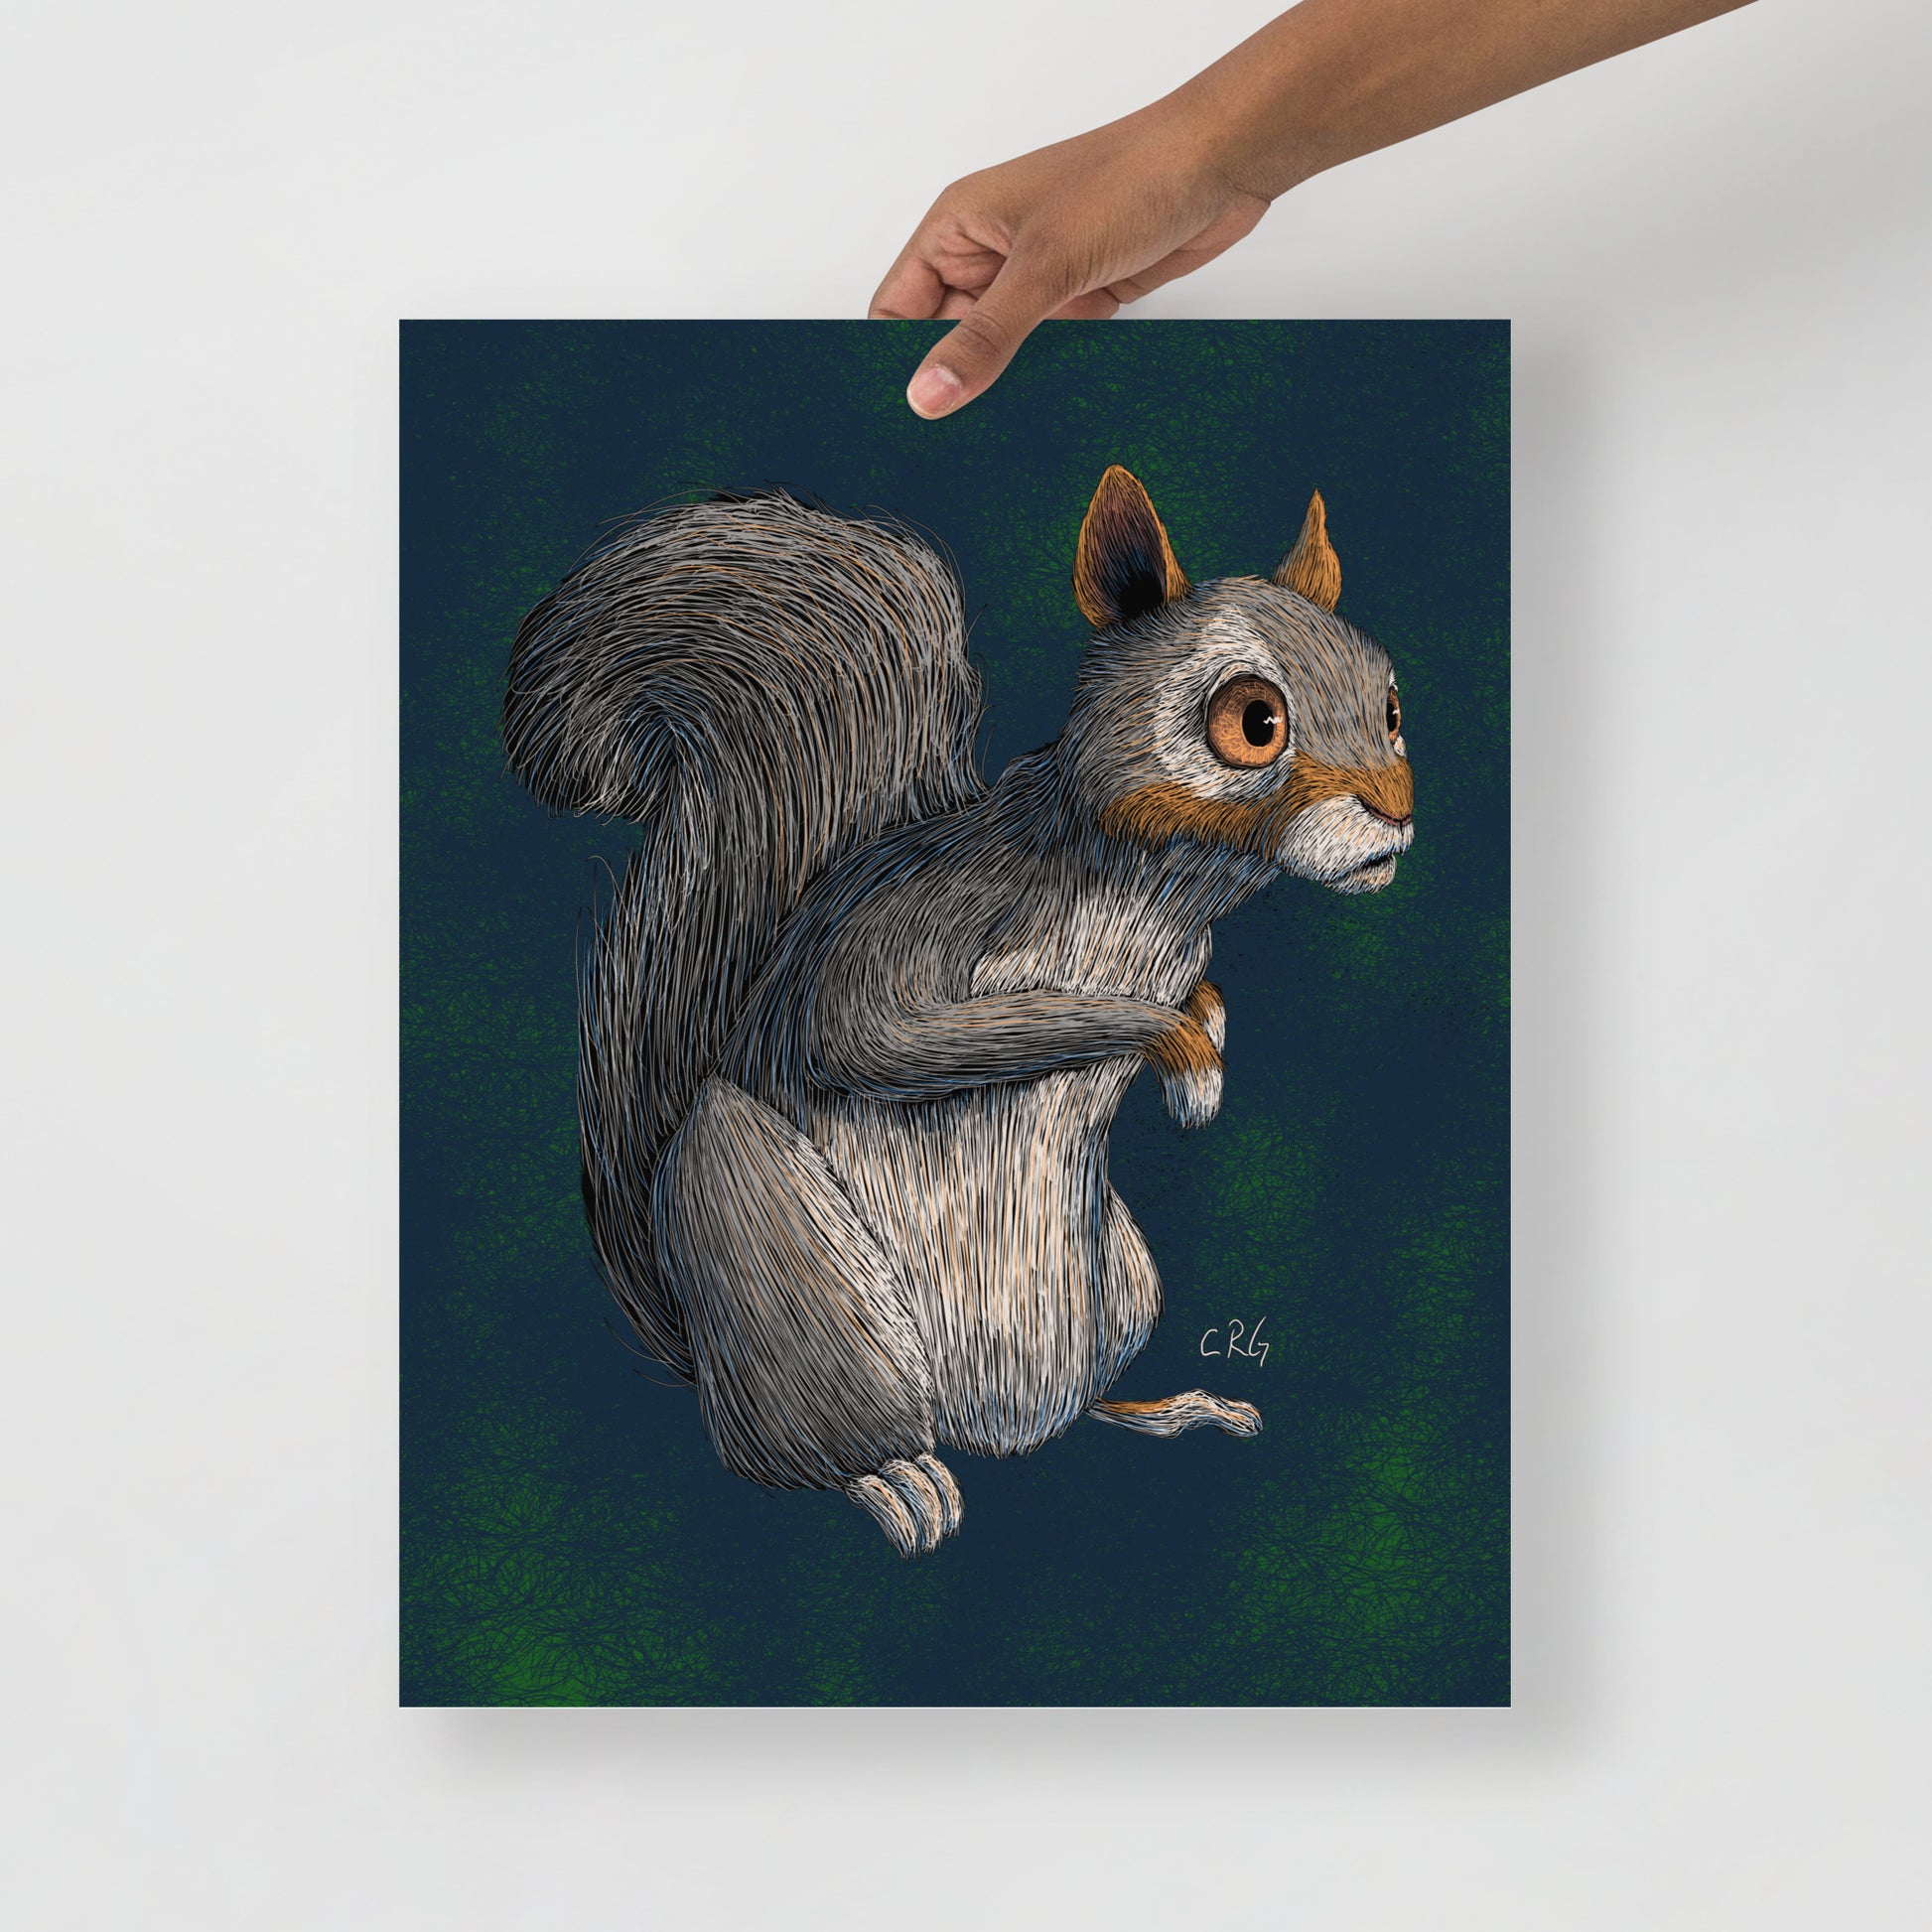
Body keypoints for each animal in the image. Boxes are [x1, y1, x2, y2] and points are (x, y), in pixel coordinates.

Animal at [502, 465, 1414, 1556]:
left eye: (1392, 704)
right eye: (1252, 720)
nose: (1396, 815)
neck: (1160, 893)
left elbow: (1200, 991)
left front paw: (1210, 1047)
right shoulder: (917, 930)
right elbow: (892, 1036)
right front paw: (1184, 1057)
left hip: (1123, 1281)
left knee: (1076, 1408)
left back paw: (1168, 1410)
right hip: (787, 1270)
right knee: (800, 1448)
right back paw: (892, 1480)